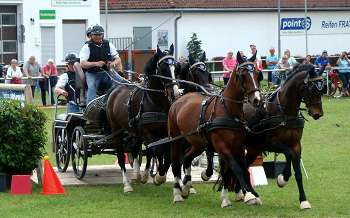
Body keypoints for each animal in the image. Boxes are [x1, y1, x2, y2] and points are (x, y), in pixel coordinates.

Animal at [106, 44, 180, 192]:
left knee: (134, 148)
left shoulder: (164, 132)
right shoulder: (147, 133)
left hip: (134, 132)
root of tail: (115, 90)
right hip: (116, 130)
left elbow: (164, 152)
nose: (175, 93)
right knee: (121, 154)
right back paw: (127, 184)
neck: (155, 101)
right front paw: (156, 176)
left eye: (175, 67)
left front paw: (157, 175)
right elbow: (156, 150)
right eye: (163, 68)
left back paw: (137, 174)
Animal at [167, 51, 262, 208]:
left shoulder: (238, 146)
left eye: (257, 74)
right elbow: (235, 168)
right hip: (176, 139)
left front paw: (247, 194)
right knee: (175, 163)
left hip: (198, 143)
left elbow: (239, 169)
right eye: (243, 75)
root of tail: (179, 99)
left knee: (187, 158)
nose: (257, 99)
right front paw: (246, 195)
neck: (228, 110)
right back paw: (177, 194)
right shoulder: (221, 145)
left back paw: (186, 187)